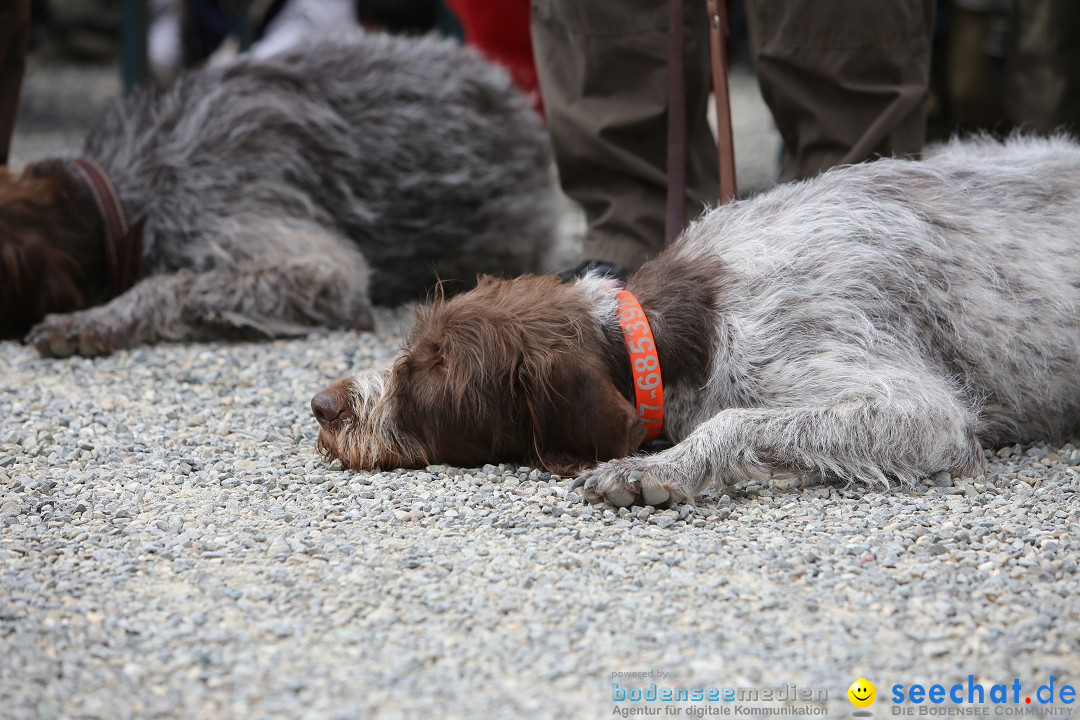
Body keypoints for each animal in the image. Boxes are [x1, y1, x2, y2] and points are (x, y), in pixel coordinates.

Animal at [311, 134, 1080, 507]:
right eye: (412, 347)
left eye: (440, 368)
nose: (322, 405)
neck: (673, 330)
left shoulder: (920, 411)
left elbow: (735, 420)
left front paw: (657, 469)